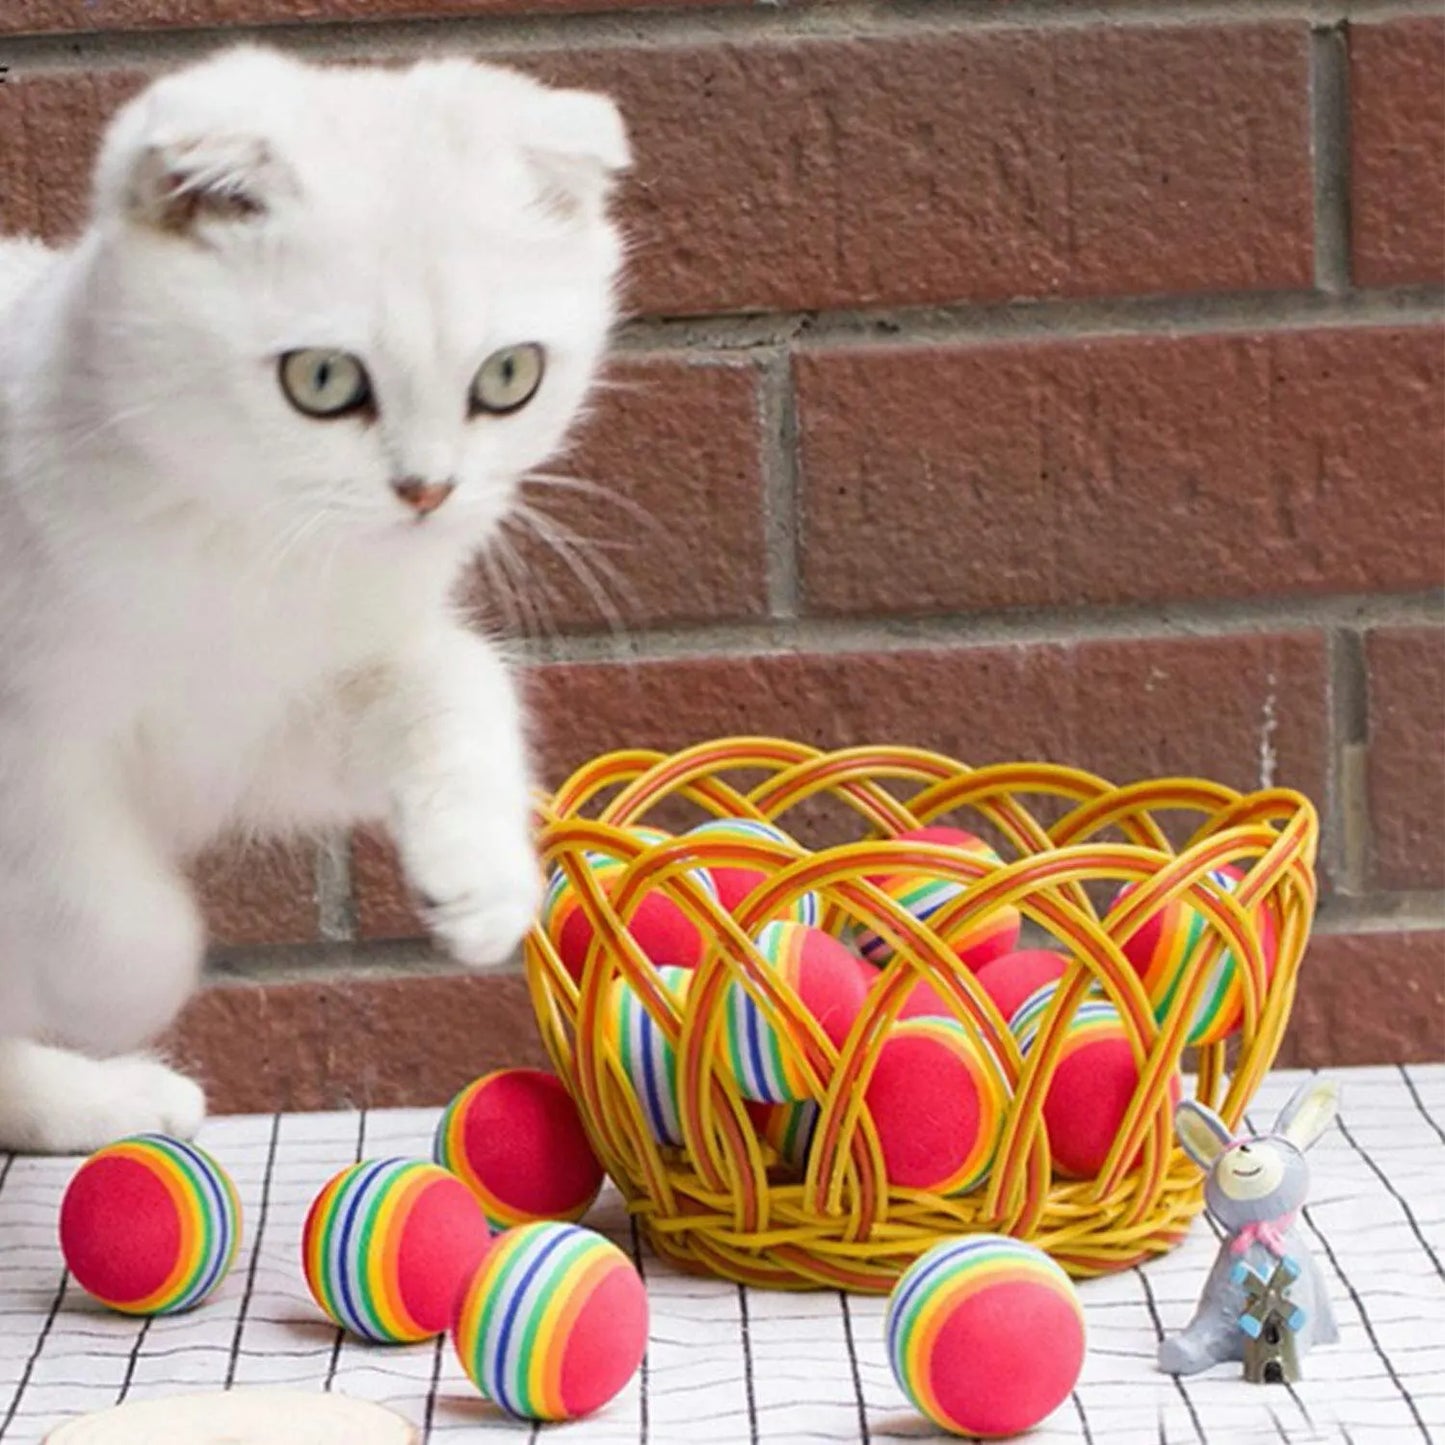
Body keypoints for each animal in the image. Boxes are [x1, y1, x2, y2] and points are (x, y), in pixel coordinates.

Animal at [1, 48, 632, 1150]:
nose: (427, 489)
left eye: (509, 375)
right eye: (324, 379)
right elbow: (107, 903)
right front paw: (121, 990)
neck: (240, 547)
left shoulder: (258, 721)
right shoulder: (31, 752)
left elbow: (454, 675)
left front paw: (483, 872)